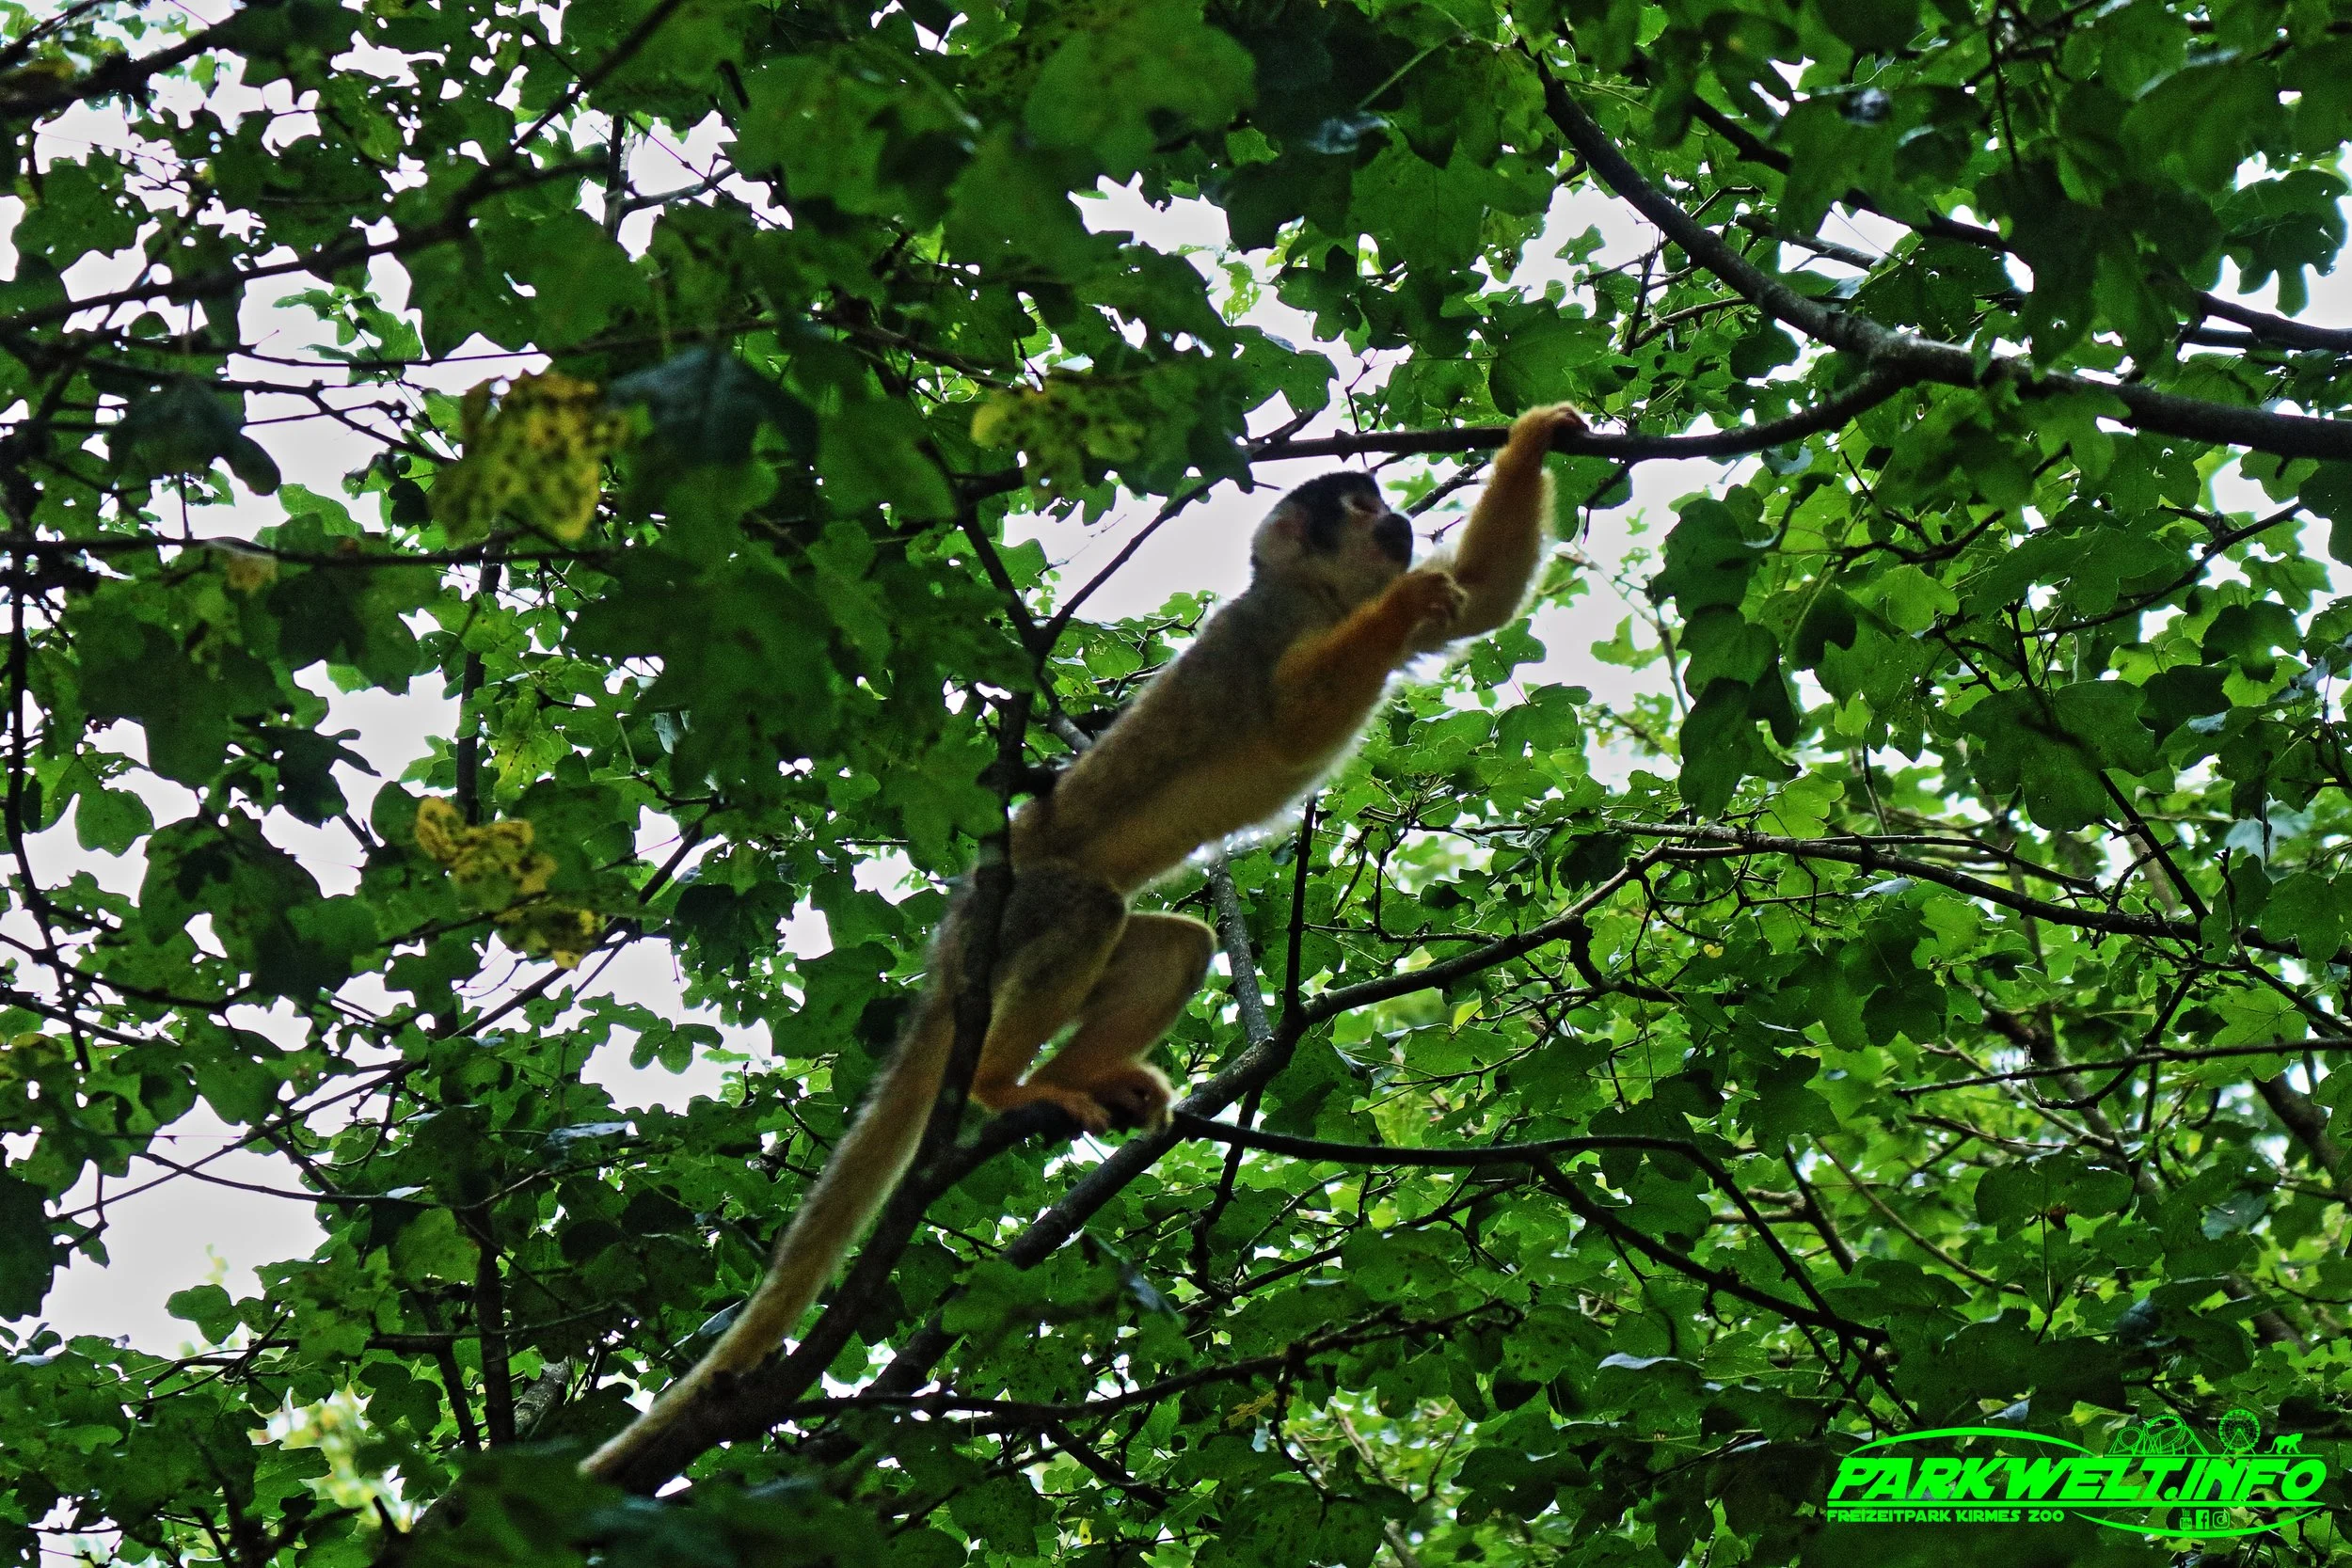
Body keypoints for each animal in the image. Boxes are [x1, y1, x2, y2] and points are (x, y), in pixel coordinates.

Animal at [580, 401, 1586, 1483]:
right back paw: (1000, 1084)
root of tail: (949, 947)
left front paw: (1533, 438)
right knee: (1086, 911)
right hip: (1013, 907)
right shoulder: (1255, 633)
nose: (1395, 518)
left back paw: (1089, 1075)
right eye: (1358, 509)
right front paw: (1402, 605)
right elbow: (1292, 714)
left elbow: (1481, 602)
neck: (1319, 602)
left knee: (1171, 942)